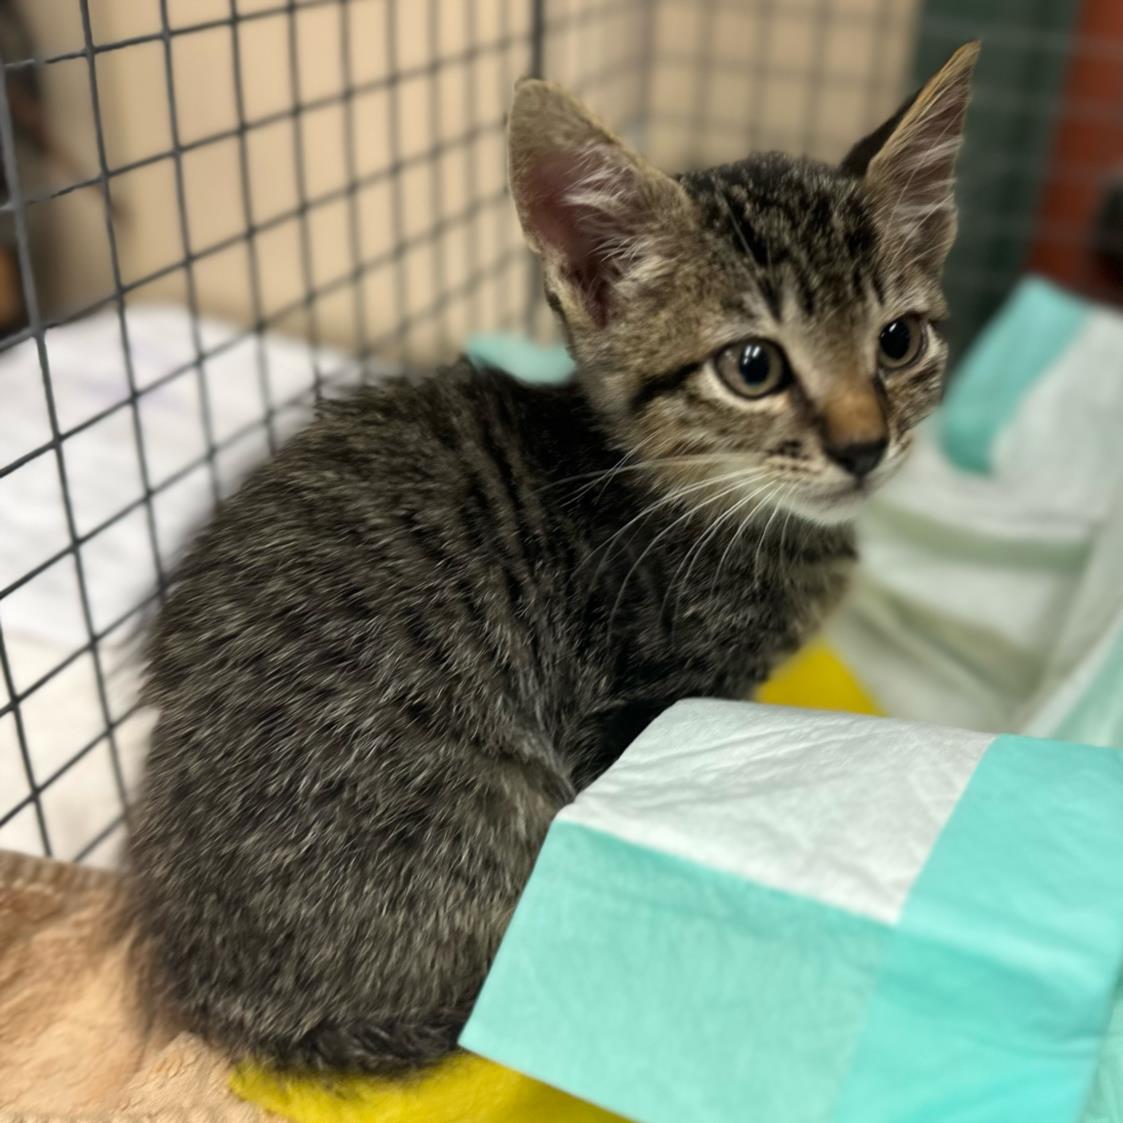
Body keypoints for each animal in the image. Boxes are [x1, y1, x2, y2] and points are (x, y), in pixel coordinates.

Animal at [129, 43, 974, 1073]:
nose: (863, 446)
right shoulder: (639, 708)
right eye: (752, 367)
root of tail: (220, 1001)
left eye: (898, 341)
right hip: (496, 798)